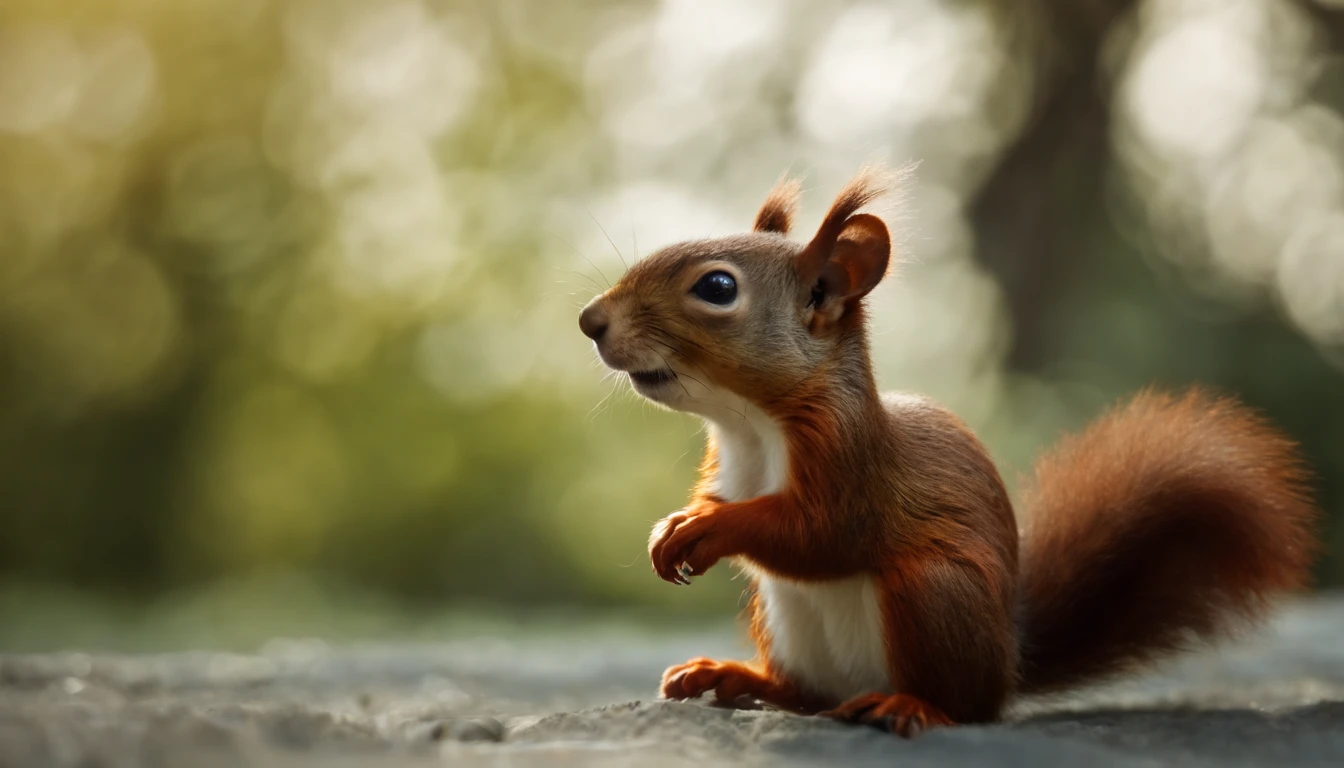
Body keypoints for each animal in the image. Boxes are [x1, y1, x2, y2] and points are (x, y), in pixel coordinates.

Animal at [572, 166, 1317, 737]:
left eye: (718, 288)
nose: (590, 321)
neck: (752, 424)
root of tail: (1008, 667)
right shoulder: (726, 464)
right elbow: (726, 501)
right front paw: (672, 526)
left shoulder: (853, 466)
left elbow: (822, 534)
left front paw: (706, 530)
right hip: (781, 615)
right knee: (808, 696)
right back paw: (729, 677)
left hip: (934, 593)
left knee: (959, 707)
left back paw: (909, 706)